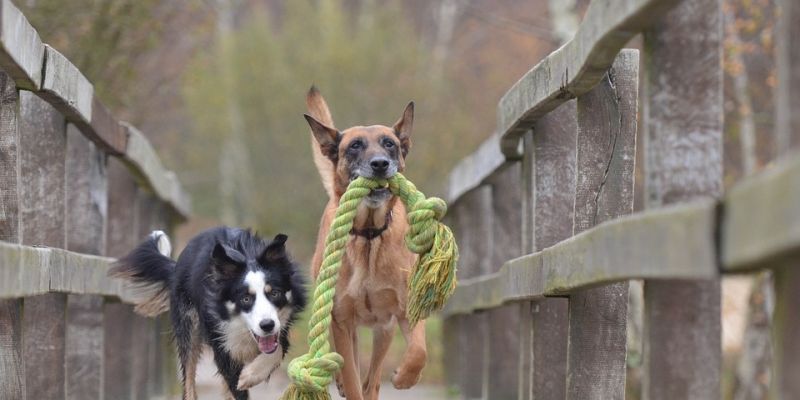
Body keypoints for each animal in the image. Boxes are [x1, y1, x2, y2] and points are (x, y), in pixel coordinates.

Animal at [109, 228, 304, 400]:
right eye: (246, 299)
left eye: (275, 293)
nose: (267, 325)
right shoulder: (221, 343)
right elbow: (235, 384)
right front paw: (246, 378)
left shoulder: (281, 328)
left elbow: (277, 349)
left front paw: (250, 375)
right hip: (188, 325)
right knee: (188, 380)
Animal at [302, 87, 424, 400]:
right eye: (355, 146)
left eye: (390, 144)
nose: (380, 163)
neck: (369, 235)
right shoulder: (342, 320)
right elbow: (352, 376)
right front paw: (347, 382)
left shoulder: (404, 310)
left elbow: (418, 351)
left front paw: (405, 377)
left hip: (384, 331)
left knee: (374, 376)